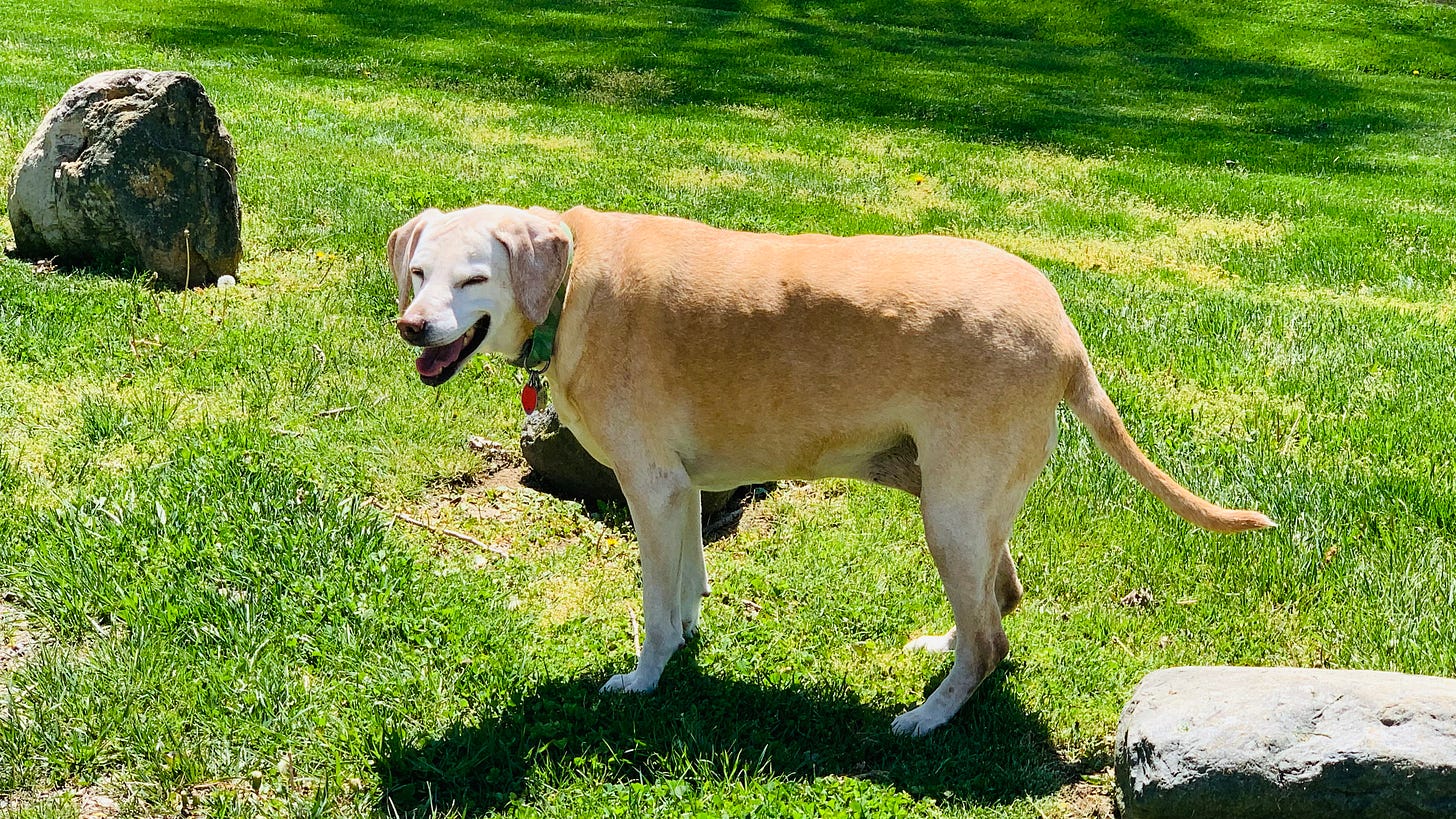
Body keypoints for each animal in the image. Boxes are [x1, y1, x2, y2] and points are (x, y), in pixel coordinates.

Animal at [390, 202, 1275, 734]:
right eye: (418, 273)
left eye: (474, 277)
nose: (412, 326)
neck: (573, 288)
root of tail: (1065, 333)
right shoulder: (686, 487)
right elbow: (688, 577)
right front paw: (689, 632)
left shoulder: (652, 486)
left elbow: (655, 604)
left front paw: (646, 676)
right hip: (965, 502)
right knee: (998, 599)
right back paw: (944, 643)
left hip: (950, 508)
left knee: (992, 640)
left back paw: (930, 716)